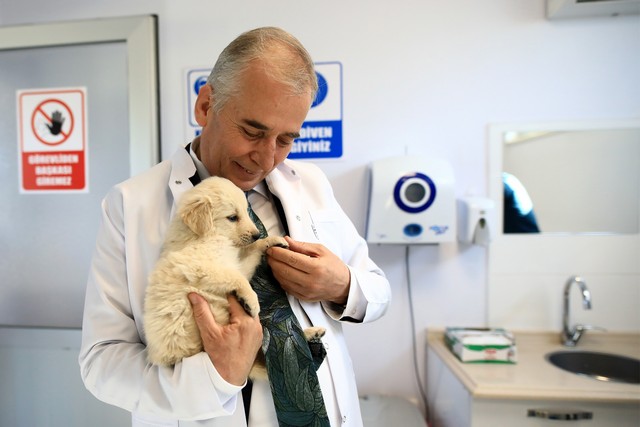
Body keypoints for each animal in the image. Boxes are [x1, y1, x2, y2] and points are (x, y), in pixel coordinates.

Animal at [144, 176, 324, 379]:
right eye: (232, 217)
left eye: (246, 212)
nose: (257, 234)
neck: (205, 236)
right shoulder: (203, 268)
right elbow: (238, 278)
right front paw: (252, 302)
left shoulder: (235, 263)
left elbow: (251, 255)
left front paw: (271, 241)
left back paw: (312, 333)